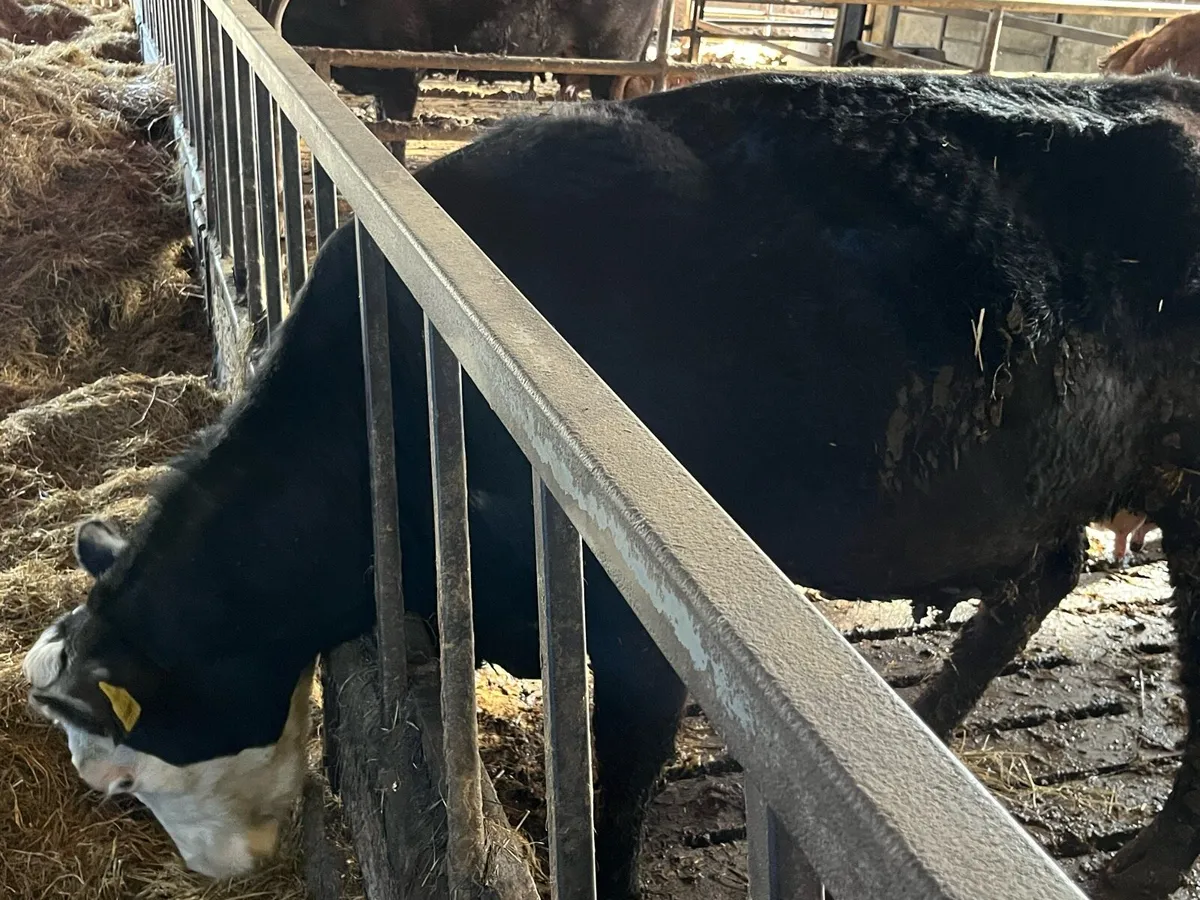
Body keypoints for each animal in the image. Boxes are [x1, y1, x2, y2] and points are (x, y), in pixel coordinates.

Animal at [22, 70, 1200, 899]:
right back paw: (931, 721)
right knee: (1047, 571)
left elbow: (617, 800)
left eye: (123, 779)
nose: (212, 870)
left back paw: (1136, 867)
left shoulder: (648, 624)